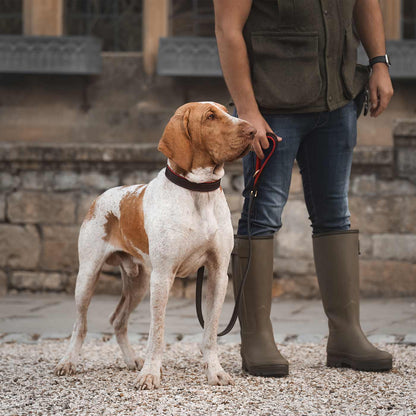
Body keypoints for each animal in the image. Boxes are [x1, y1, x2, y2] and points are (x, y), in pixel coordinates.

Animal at [53, 101, 255, 390]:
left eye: (228, 111)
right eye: (210, 116)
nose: (253, 130)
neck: (197, 192)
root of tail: (102, 196)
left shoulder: (217, 274)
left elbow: (210, 334)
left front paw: (215, 372)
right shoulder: (162, 276)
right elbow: (156, 333)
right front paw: (150, 374)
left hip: (138, 282)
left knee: (117, 321)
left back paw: (131, 360)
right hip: (88, 276)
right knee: (80, 325)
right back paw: (68, 362)